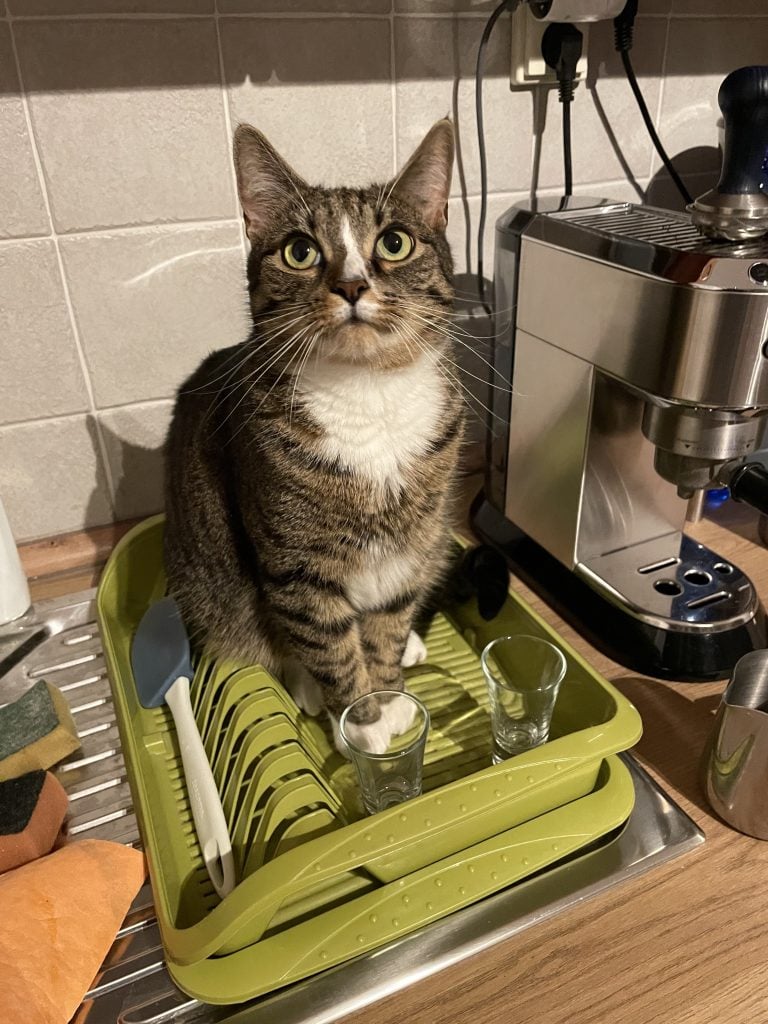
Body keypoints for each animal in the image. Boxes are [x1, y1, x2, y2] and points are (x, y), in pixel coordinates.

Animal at [163, 119, 462, 757]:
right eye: (300, 251)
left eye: (394, 243)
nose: (351, 285)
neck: (368, 392)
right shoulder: (297, 566)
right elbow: (330, 647)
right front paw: (365, 723)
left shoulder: (408, 548)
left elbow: (386, 627)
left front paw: (391, 694)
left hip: (436, 538)